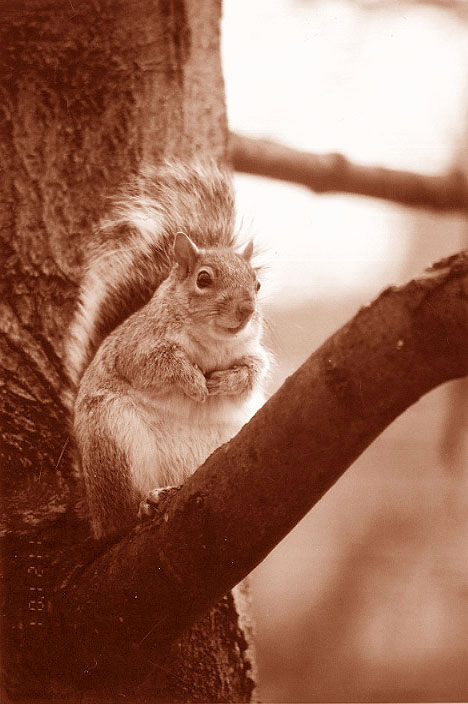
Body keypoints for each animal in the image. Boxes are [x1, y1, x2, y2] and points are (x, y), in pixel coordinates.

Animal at [65, 160, 269, 540]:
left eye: (257, 284)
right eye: (203, 279)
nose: (246, 310)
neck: (211, 342)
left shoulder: (253, 353)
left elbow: (251, 374)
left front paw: (224, 382)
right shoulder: (136, 346)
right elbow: (156, 365)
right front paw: (194, 382)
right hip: (113, 438)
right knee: (121, 517)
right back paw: (146, 503)